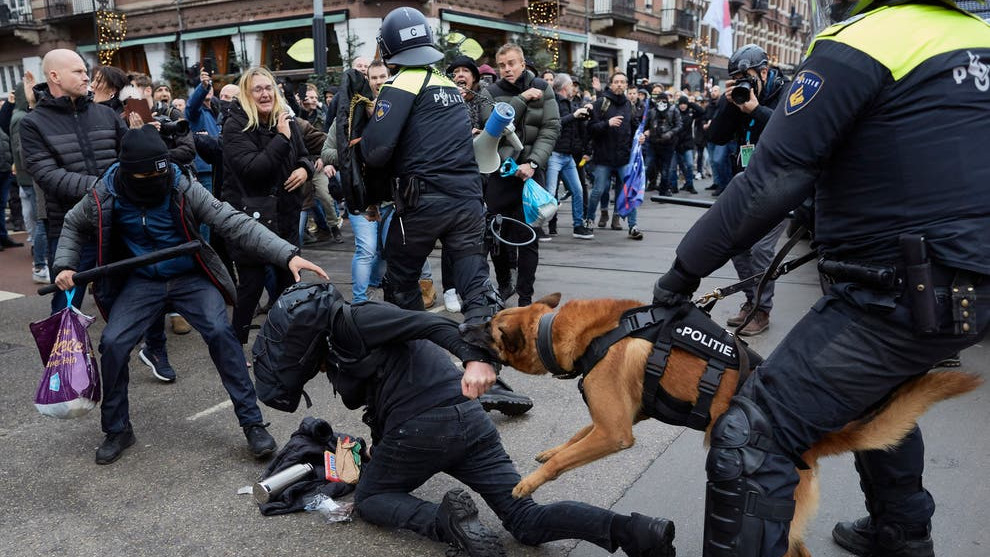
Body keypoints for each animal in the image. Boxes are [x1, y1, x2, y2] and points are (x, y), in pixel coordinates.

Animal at [464, 294, 984, 552]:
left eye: (488, 325)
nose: (461, 326)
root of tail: (813, 442)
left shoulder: (616, 430)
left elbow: (570, 454)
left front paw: (528, 484)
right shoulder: (615, 421)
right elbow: (574, 438)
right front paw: (550, 452)